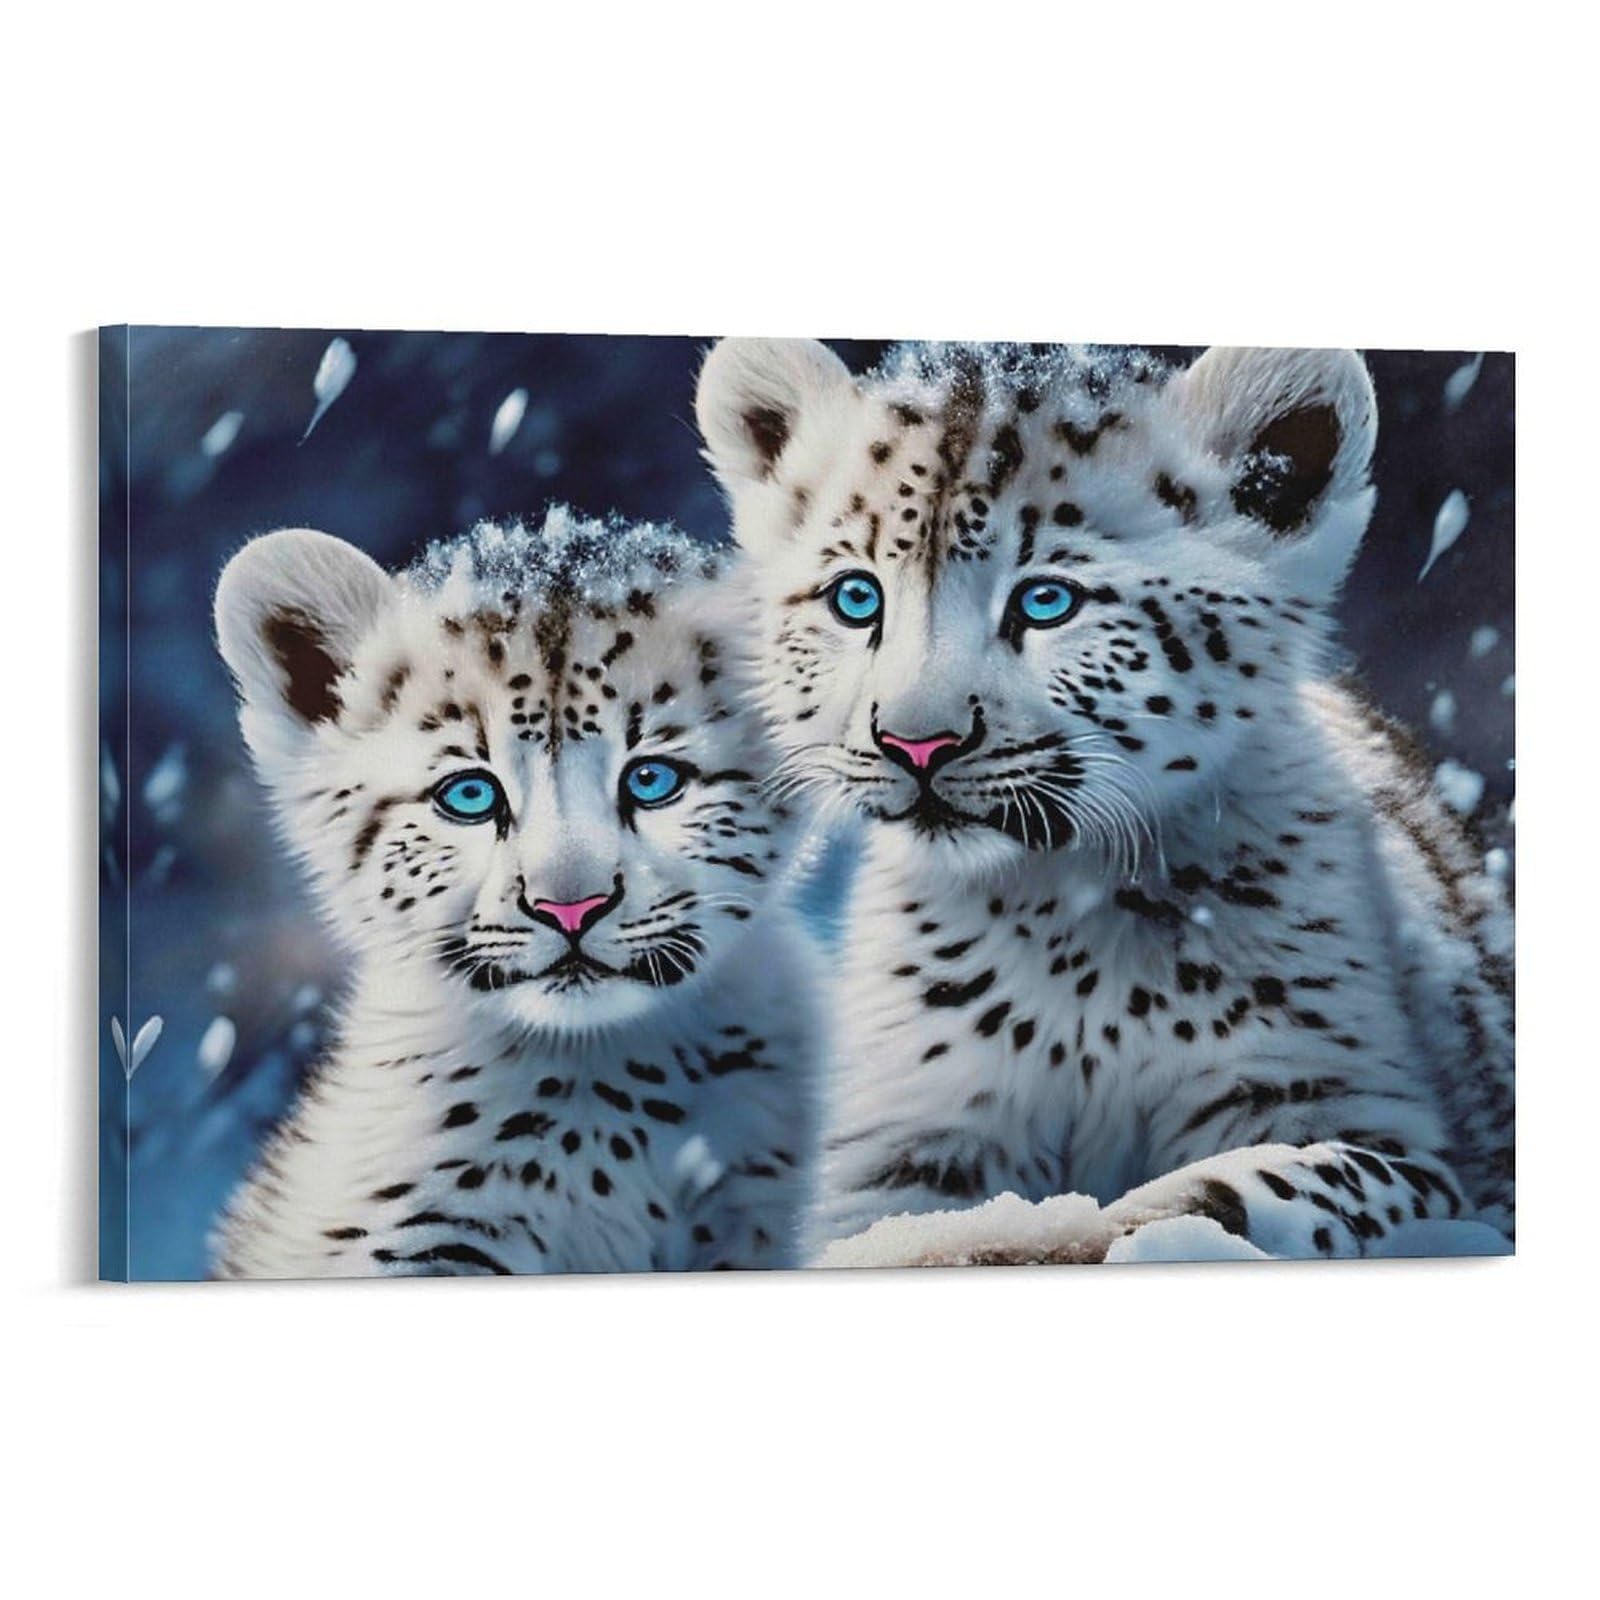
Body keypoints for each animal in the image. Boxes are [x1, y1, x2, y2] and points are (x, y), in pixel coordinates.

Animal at [696, 337, 1513, 1263]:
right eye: (855, 597)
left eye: (1047, 599)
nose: (916, 745)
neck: (1061, 925)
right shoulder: (904, 1138)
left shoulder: (1346, 1105)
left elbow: (1292, 1179)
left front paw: (1122, 1224)